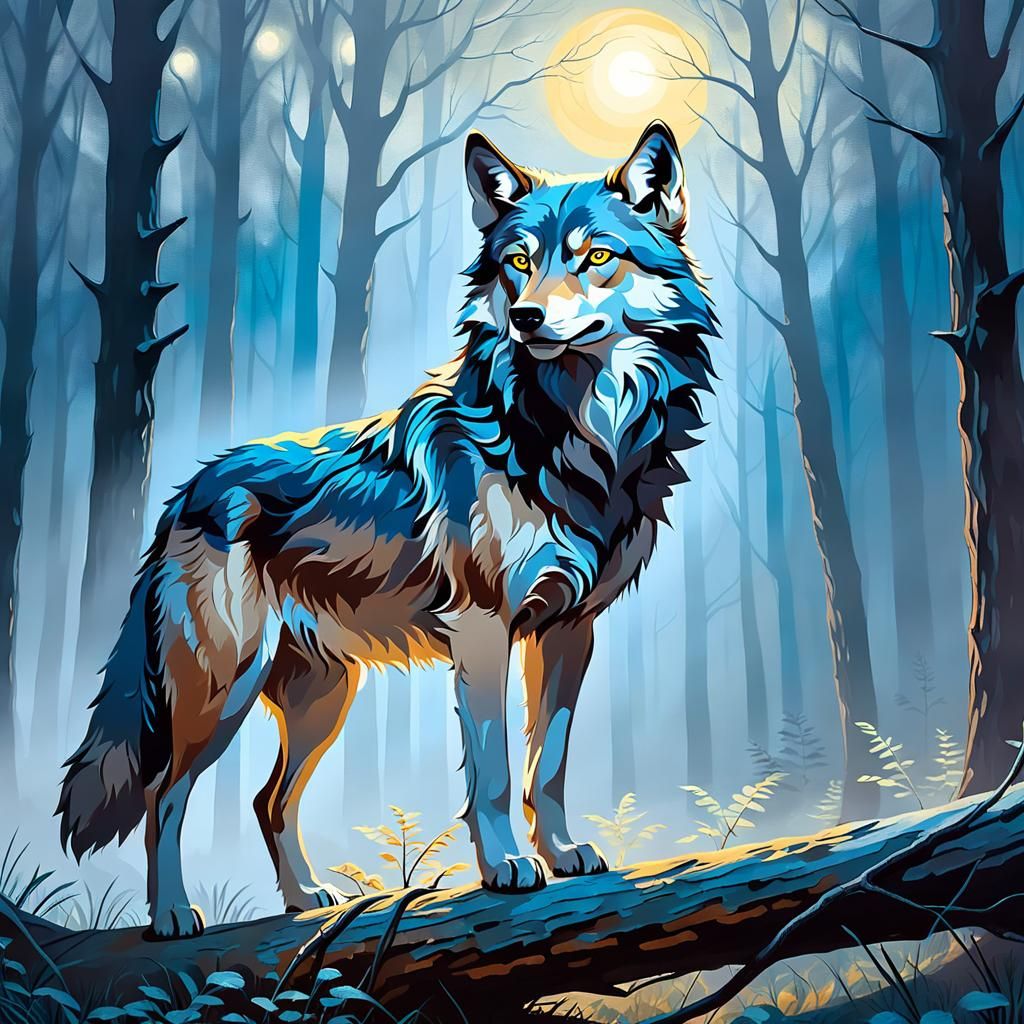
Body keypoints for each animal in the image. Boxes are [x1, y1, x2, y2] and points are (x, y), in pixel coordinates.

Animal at [58, 120, 716, 938]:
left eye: (596, 256)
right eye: (518, 263)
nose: (527, 319)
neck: (575, 435)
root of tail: (185, 491)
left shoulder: (571, 629)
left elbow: (550, 765)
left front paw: (564, 854)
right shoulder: (483, 630)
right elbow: (496, 770)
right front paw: (507, 867)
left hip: (321, 701)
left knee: (267, 800)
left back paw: (305, 898)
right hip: (223, 689)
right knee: (163, 795)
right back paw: (175, 915)